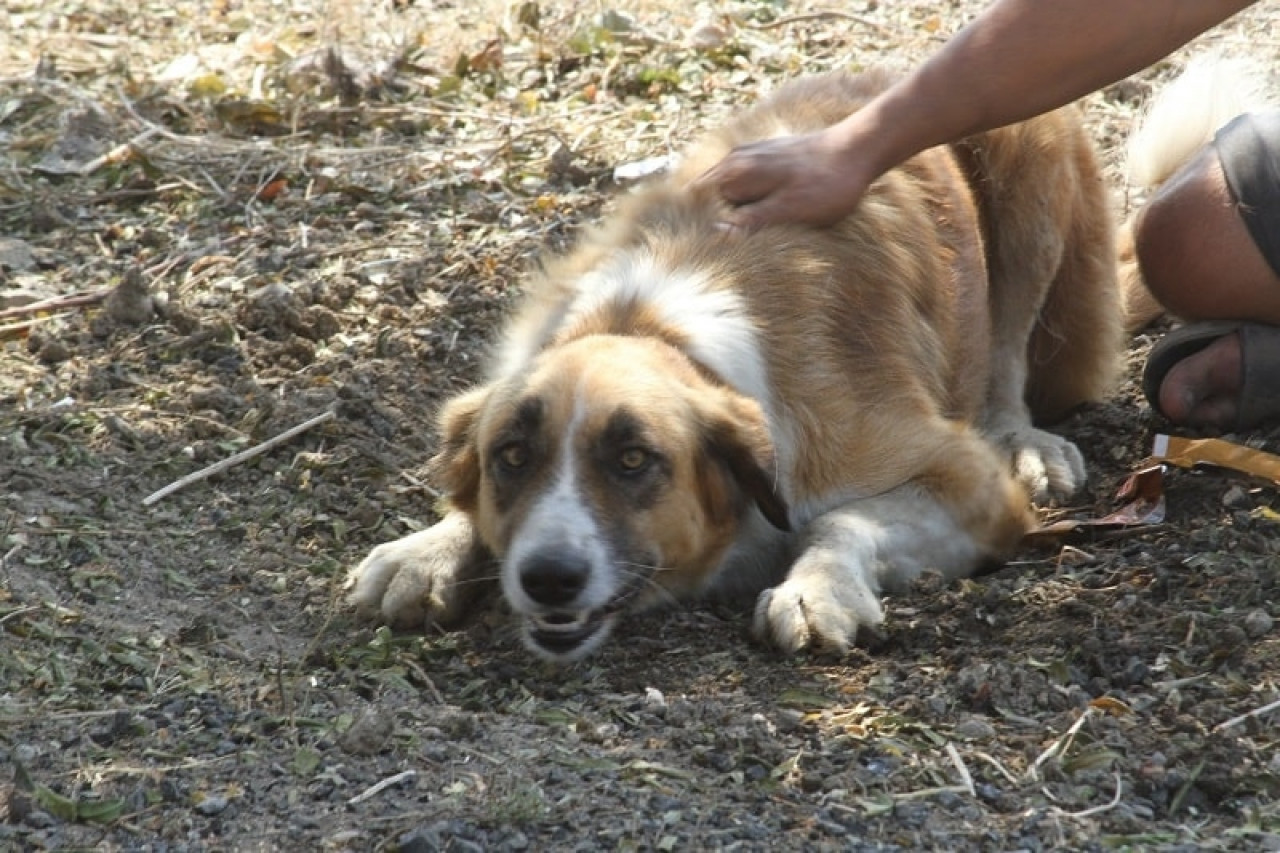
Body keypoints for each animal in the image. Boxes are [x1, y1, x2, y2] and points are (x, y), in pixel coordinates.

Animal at [345, 69, 1126, 660]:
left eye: (633, 460)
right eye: (510, 455)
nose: (549, 578)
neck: (648, 325)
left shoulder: (968, 483)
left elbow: (836, 521)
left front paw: (817, 589)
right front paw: (427, 548)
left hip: (1029, 169)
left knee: (1007, 364)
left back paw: (1024, 439)